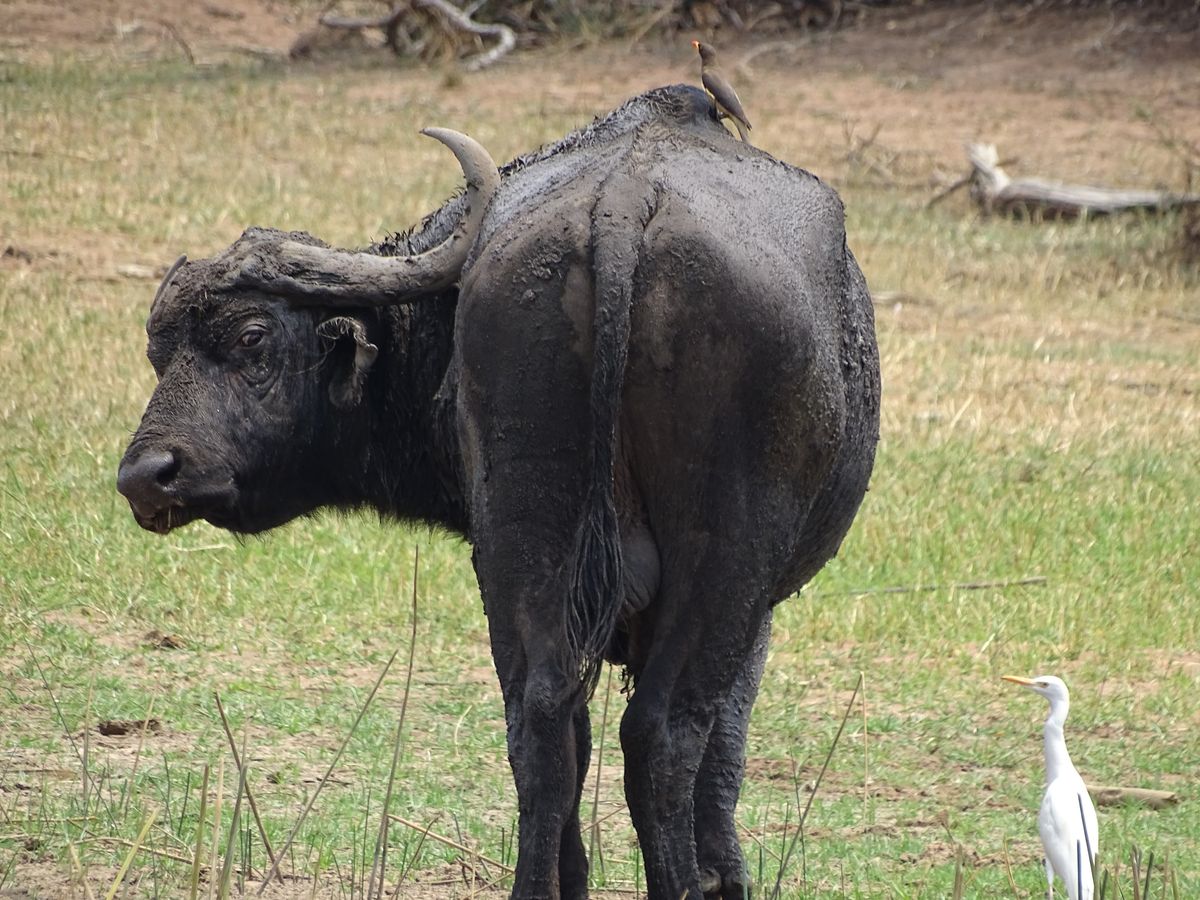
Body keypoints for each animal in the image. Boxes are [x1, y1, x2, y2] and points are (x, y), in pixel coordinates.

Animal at [117, 85, 880, 899]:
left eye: (251, 338)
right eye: (161, 351)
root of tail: (622, 210)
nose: (146, 474)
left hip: (524, 549)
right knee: (662, 735)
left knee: (542, 725)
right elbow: (723, 756)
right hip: (722, 570)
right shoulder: (759, 614)